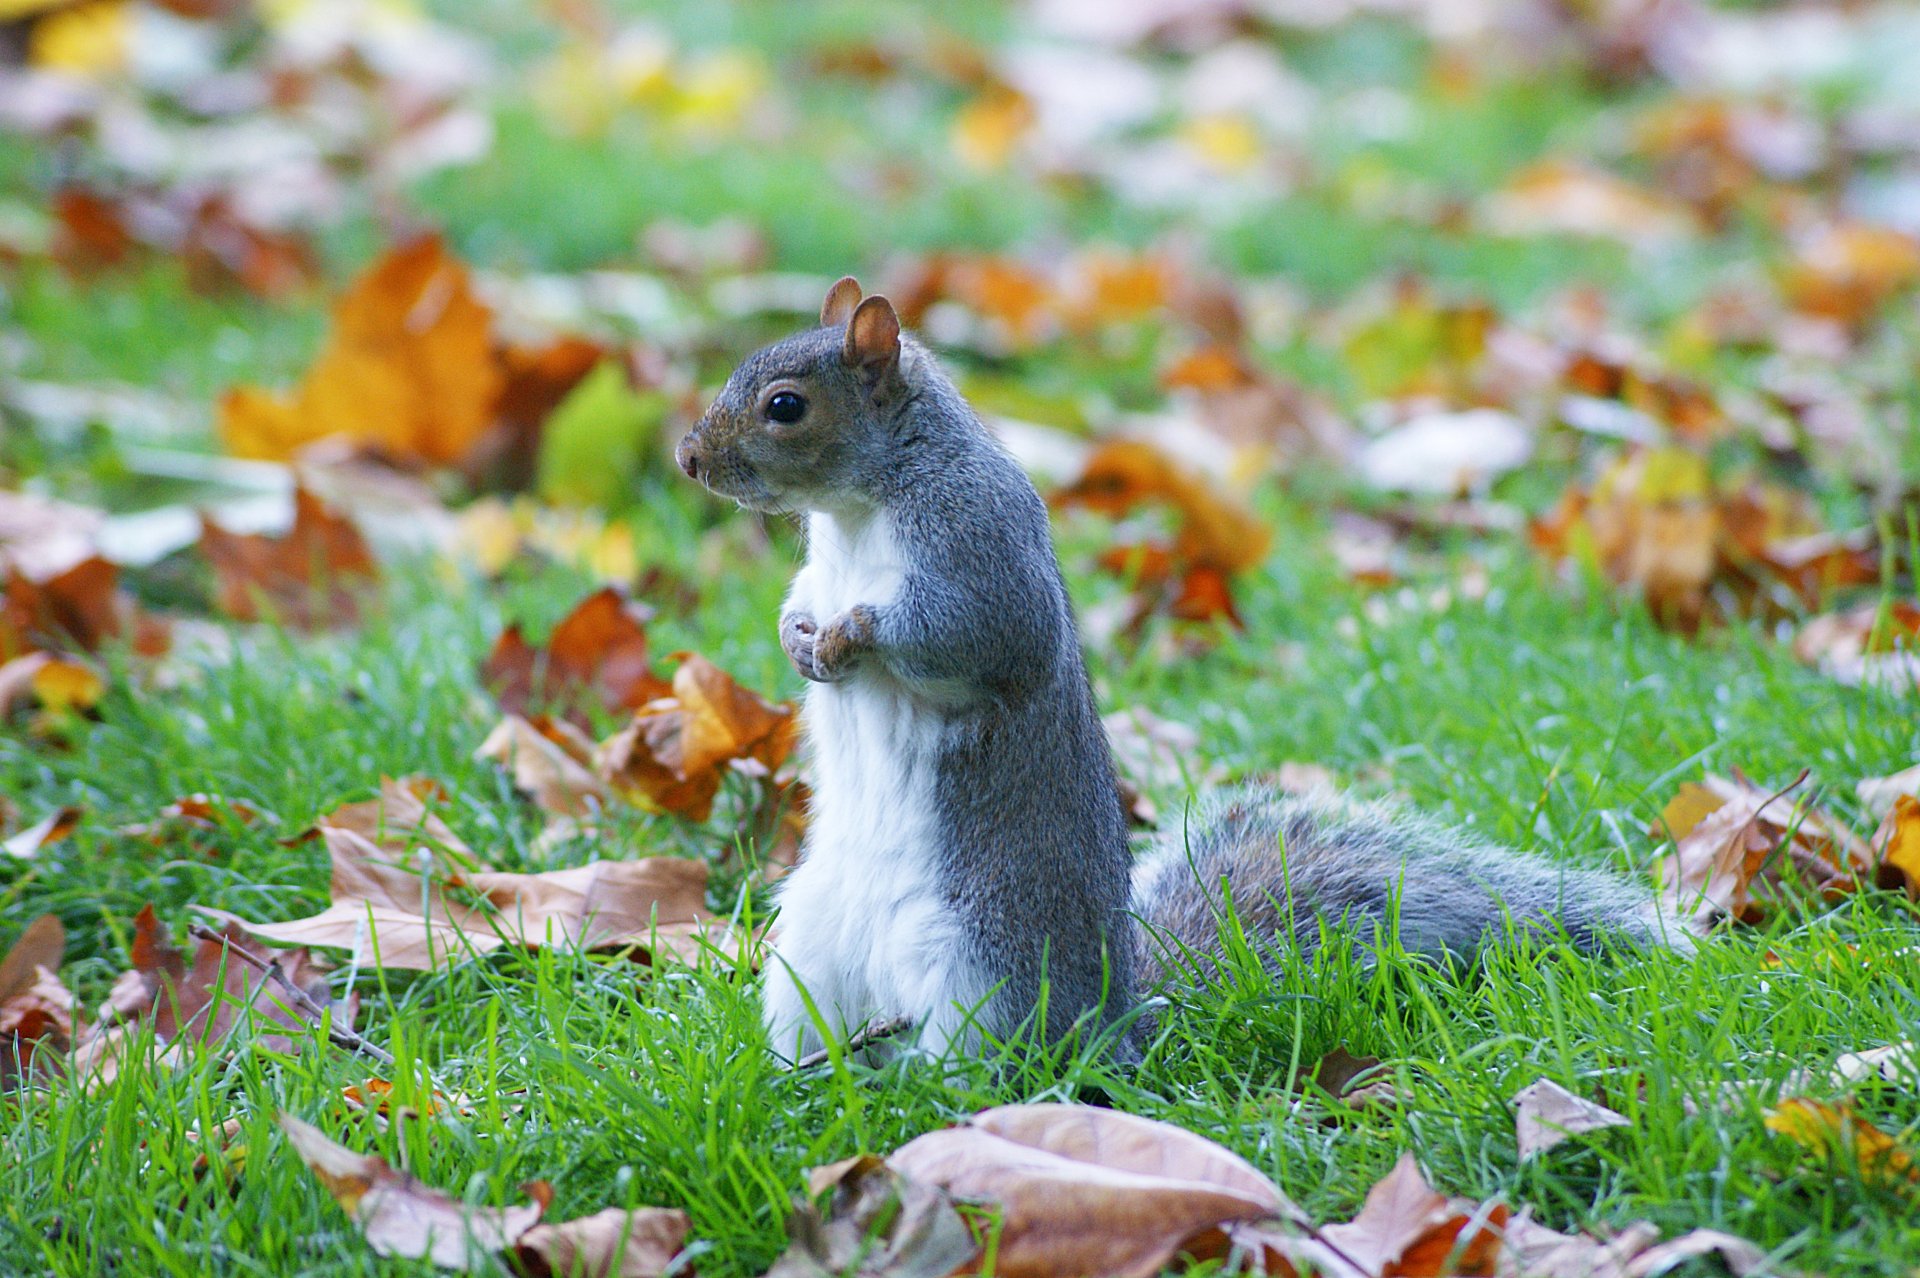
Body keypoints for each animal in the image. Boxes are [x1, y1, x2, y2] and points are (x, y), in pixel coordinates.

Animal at [672, 282, 1681, 1066]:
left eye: (786, 406)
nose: (687, 457)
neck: (856, 509)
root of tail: (1116, 1021)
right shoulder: (824, 566)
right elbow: (799, 602)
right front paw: (799, 637)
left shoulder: (979, 550)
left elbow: (969, 637)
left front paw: (850, 639)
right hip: (806, 951)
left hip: (984, 964)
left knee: (996, 1063)